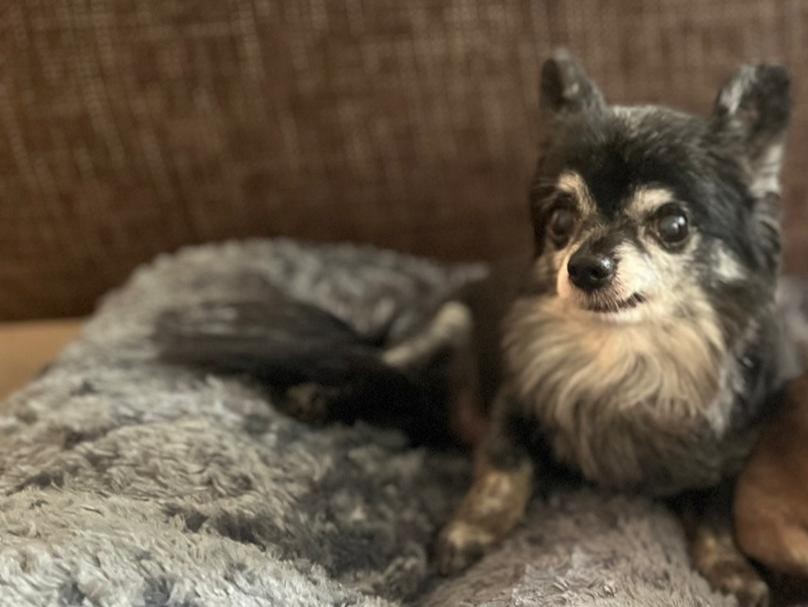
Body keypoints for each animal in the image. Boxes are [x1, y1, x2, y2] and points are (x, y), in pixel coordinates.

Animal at [435, 51, 798, 607]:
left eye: (673, 225)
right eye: (561, 221)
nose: (586, 267)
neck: (626, 360)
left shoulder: (730, 451)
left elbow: (714, 512)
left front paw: (731, 568)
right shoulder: (517, 398)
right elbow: (503, 463)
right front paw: (472, 528)